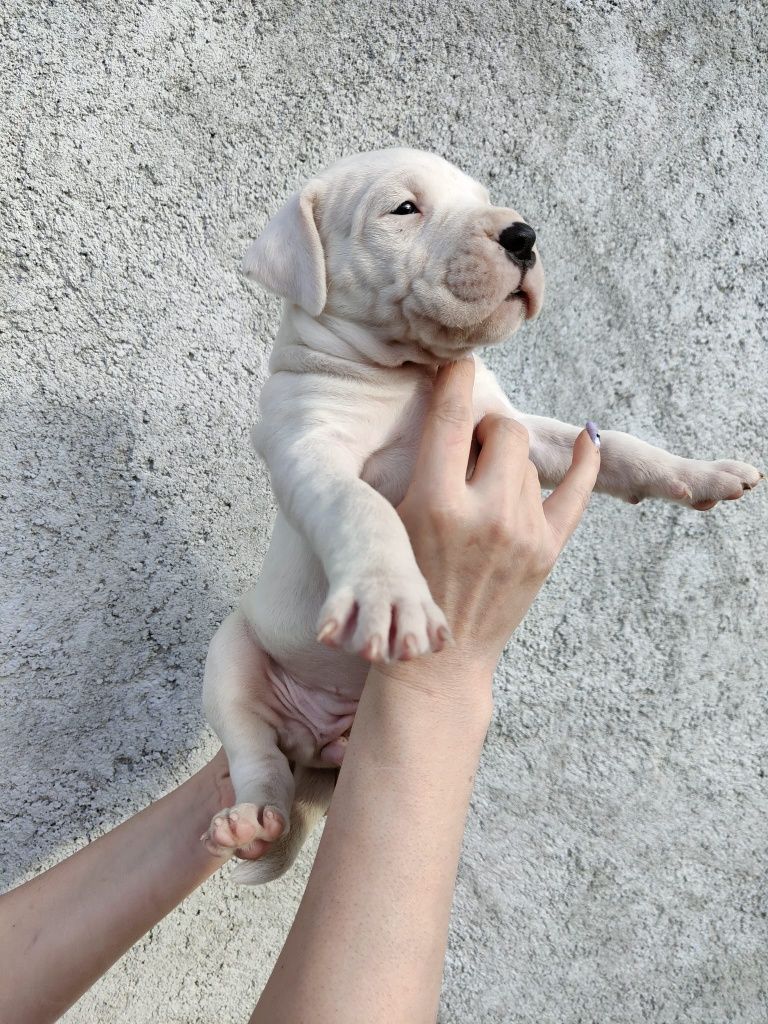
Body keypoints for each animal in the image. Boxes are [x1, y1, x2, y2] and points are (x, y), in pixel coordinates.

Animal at [202, 148, 765, 884]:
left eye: (482, 197)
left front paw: (703, 472)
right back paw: (252, 823)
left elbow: (612, 444)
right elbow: (361, 507)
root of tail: (317, 745)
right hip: (232, 658)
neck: (410, 375)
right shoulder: (308, 449)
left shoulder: (512, 425)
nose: (524, 235)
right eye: (404, 208)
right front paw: (392, 595)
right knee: (257, 754)